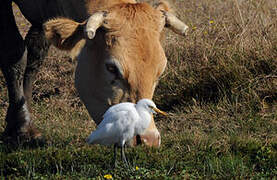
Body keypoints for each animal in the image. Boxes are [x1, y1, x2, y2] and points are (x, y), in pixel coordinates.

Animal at [0, 0, 187, 146]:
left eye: (160, 72)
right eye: (111, 68)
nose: (148, 139)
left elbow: (35, 54)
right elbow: (15, 52)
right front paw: (22, 127)